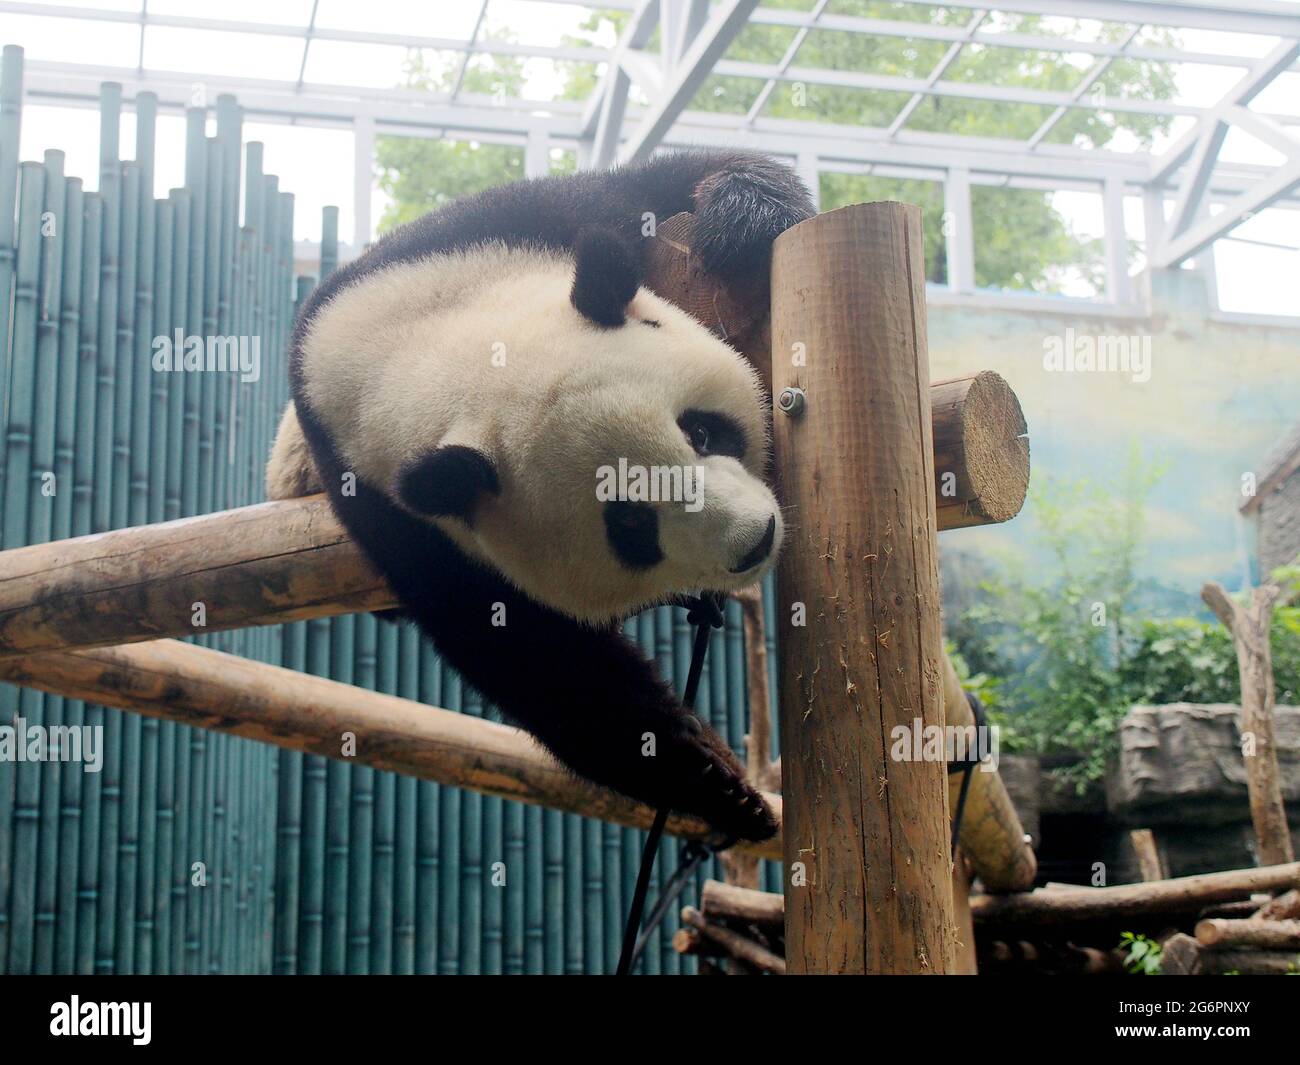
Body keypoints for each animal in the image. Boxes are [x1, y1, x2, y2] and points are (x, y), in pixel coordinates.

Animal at [267, 150, 814, 842]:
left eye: (700, 431)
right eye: (631, 526)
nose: (754, 542)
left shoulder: (504, 226)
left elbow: (667, 182)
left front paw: (744, 216)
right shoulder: (400, 518)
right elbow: (542, 666)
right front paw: (717, 783)